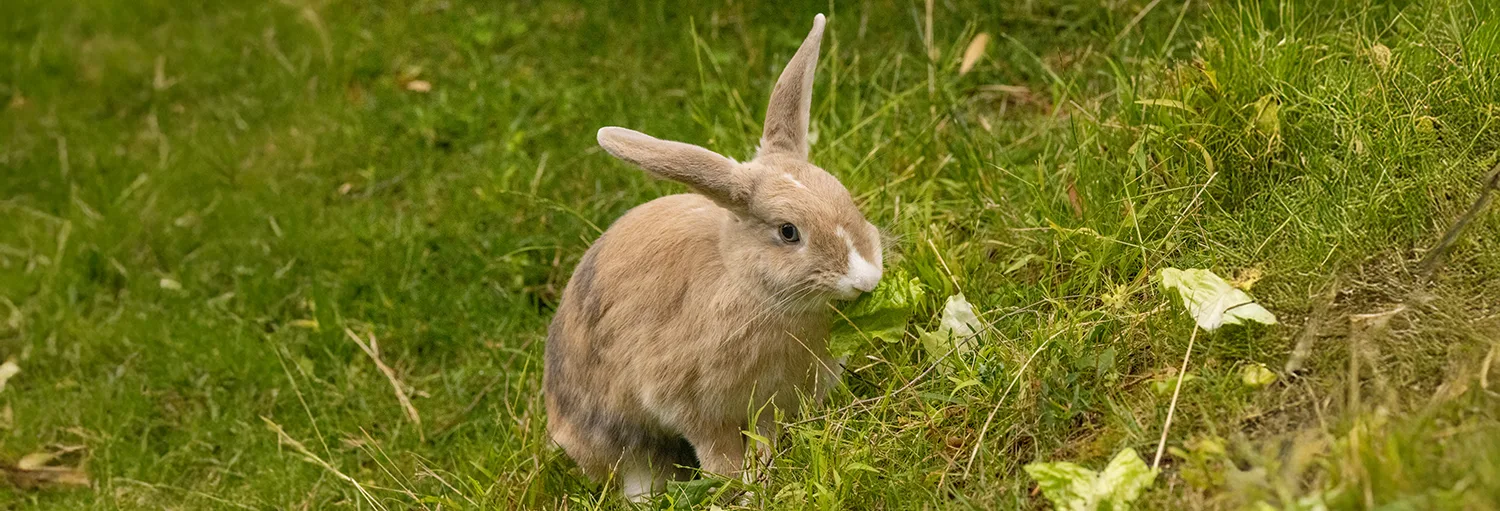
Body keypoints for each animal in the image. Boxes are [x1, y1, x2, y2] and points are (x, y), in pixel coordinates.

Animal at [543, 13, 882, 501]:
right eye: (788, 232)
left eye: (844, 195)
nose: (866, 277)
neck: (752, 290)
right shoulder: (694, 408)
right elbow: (719, 455)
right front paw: (741, 489)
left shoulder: (772, 403)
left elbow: (764, 439)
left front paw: (763, 479)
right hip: (617, 435)